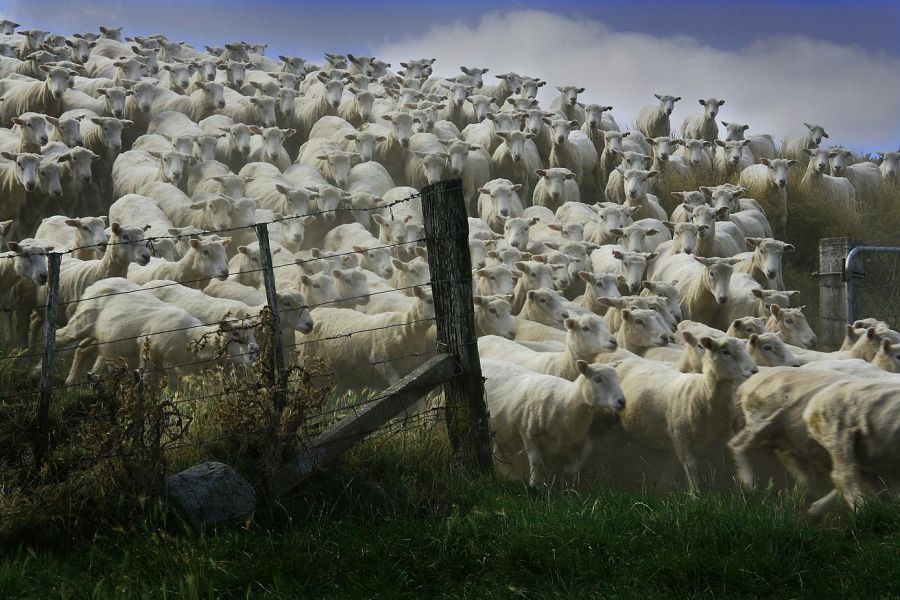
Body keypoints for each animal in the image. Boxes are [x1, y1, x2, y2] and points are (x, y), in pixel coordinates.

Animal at [616, 332, 756, 492]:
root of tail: (624, 361)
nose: (754, 371)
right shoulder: (680, 436)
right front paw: (695, 494)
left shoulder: (725, 431)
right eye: (725, 351)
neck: (702, 393)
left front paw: (748, 480)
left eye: (746, 350)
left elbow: (737, 449)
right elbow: (691, 465)